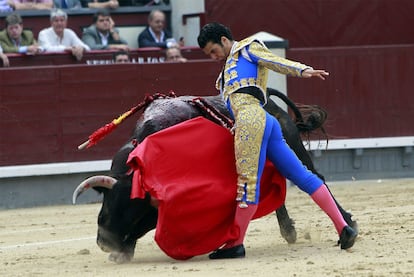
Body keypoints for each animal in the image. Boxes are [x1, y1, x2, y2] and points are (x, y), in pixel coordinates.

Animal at [73, 88, 358, 264]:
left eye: (133, 215)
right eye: (106, 211)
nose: (105, 244)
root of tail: (268, 99)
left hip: (293, 146)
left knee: (314, 177)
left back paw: (348, 224)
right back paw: (289, 231)